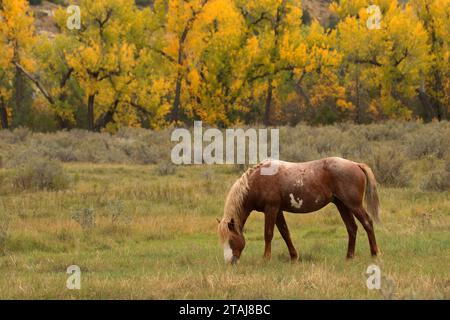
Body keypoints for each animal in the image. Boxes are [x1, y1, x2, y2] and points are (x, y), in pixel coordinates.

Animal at [218, 158, 380, 264]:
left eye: (231, 240)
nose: (229, 262)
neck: (258, 180)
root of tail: (356, 164)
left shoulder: (271, 209)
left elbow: (268, 234)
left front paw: (266, 259)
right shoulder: (278, 211)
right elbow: (285, 233)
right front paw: (294, 257)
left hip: (353, 205)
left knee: (367, 223)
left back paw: (375, 254)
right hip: (342, 205)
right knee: (352, 228)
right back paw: (349, 257)